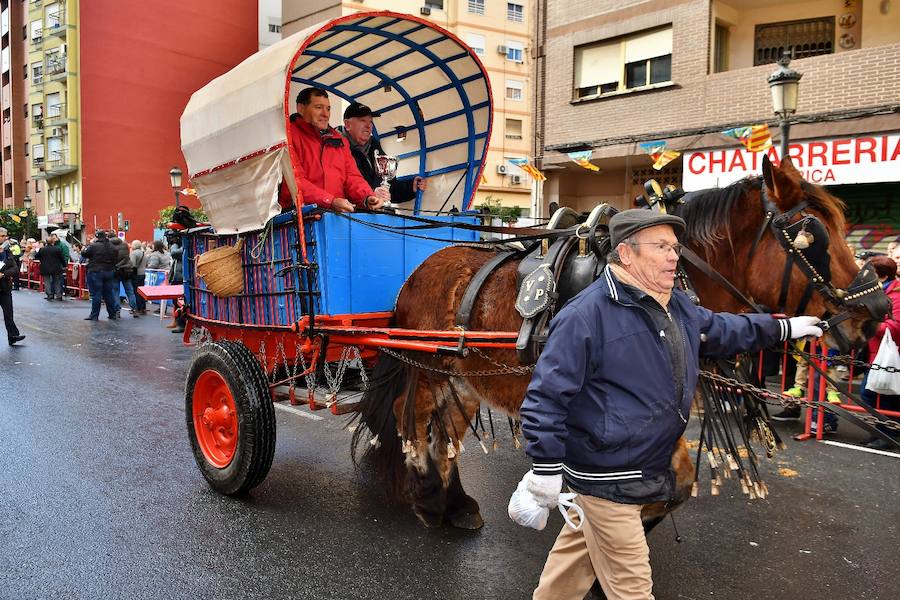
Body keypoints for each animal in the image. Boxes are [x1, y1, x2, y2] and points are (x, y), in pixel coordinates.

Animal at [350, 155, 884, 528]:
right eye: (812, 234)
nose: (875, 314)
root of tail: (418, 273)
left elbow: (676, 482)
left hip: (461, 376)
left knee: (447, 434)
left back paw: (454, 504)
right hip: (427, 371)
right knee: (415, 426)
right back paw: (427, 501)